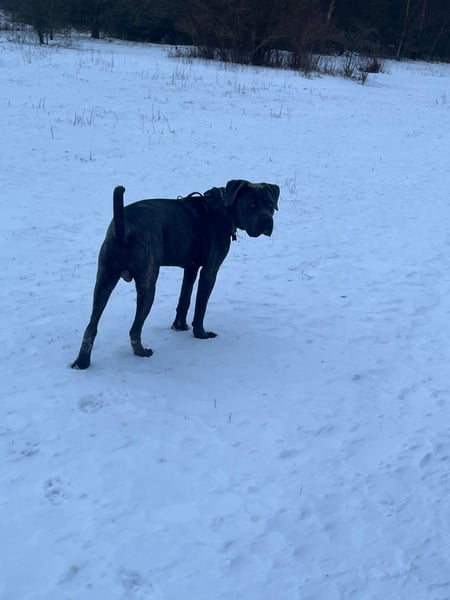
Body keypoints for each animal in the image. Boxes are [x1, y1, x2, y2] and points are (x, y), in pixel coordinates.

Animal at [71, 179, 280, 369]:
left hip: (104, 280)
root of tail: (123, 229)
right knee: (134, 329)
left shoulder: (191, 267)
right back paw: (141, 352)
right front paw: (201, 334)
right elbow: (200, 306)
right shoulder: (209, 271)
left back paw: (82, 362)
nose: (266, 221)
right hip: (148, 283)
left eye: (270, 204)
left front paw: (179, 326)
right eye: (251, 205)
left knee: (91, 327)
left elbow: (184, 298)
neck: (223, 209)